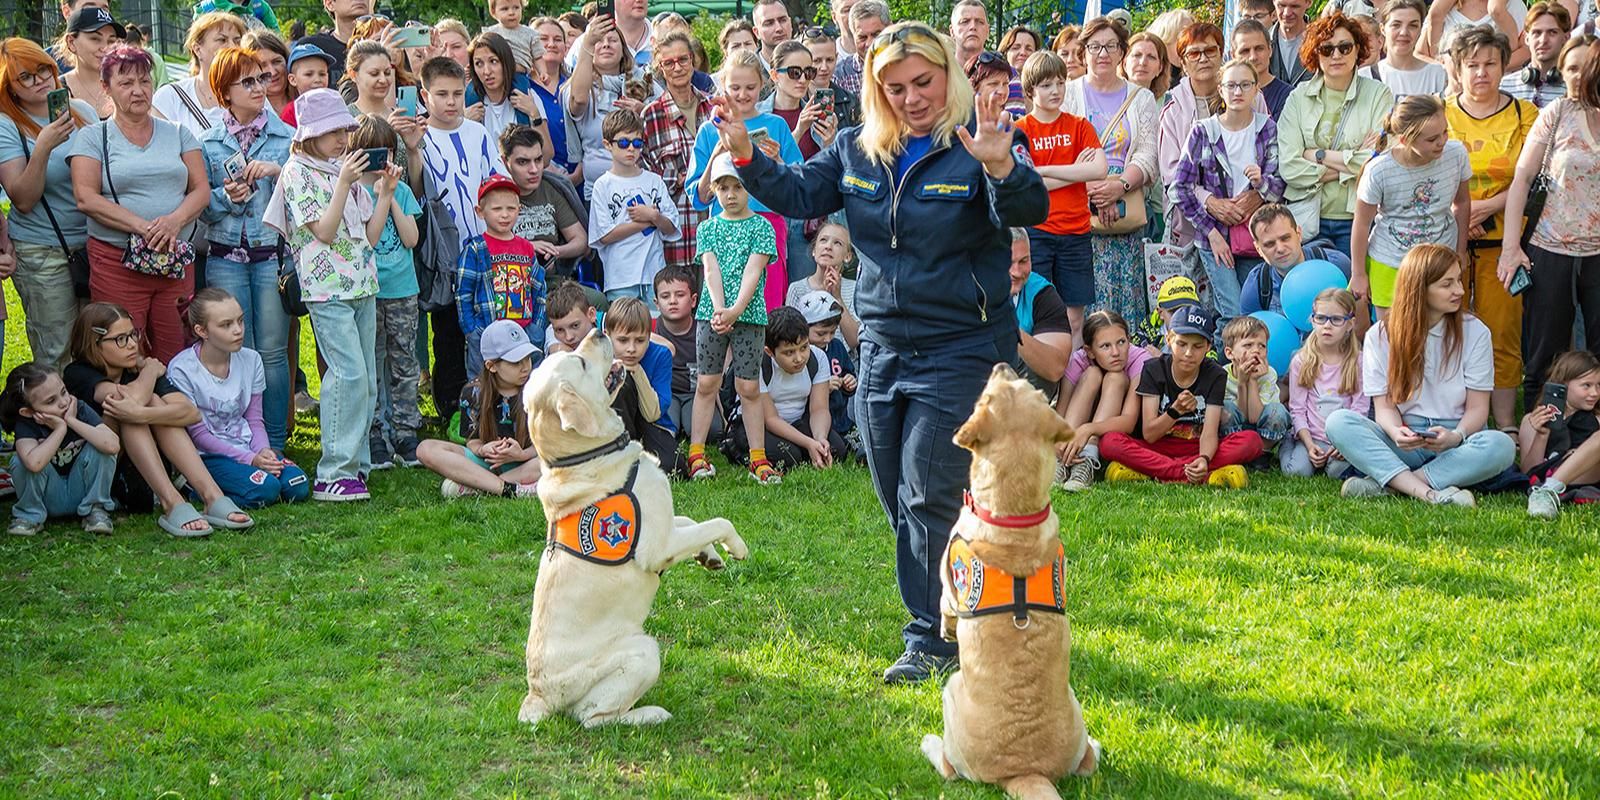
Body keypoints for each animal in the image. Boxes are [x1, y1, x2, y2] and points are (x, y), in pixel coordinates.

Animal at [521, 328, 752, 729]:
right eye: (580, 361)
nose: (599, 330)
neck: (587, 457)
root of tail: (538, 696)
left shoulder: (664, 524)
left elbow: (691, 522)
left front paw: (709, 556)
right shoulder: (657, 547)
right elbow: (718, 521)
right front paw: (735, 547)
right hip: (643, 650)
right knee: (594, 717)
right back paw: (650, 714)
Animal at [928, 366, 1100, 796]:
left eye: (987, 395)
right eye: (1033, 391)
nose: (1002, 365)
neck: (1015, 515)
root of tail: (1026, 771)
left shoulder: (948, 578)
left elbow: (944, 606)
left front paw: (947, 630)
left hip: (951, 691)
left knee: (948, 768)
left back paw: (930, 745)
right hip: (1076, 707)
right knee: (1088, 763)